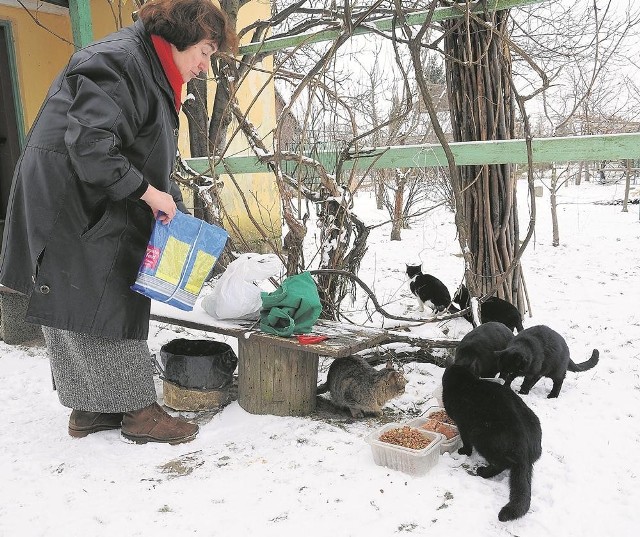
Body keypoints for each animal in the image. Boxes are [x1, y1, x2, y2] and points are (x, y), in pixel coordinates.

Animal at [442, 364, 544, 520]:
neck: (467, 382)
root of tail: (526, 453)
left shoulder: (463, 424)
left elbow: (465, 441)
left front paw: (464, 451)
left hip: (481, 436)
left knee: (500, 464)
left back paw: (483, 472)